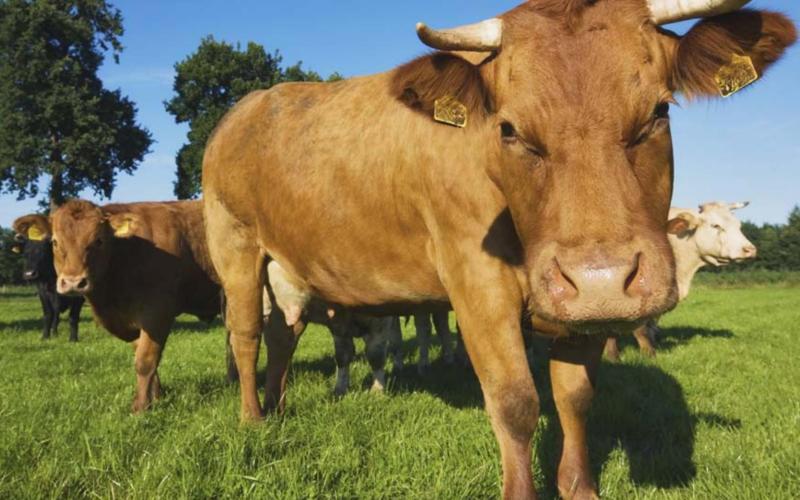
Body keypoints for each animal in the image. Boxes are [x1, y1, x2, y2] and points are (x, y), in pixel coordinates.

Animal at [20, 200, 223, 413]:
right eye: (55, 242)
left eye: (99, 240)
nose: (74, 282)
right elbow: (141, 354)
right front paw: (155, 398)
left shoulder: (158, 313)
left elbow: (145, 360)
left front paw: (140, 407)